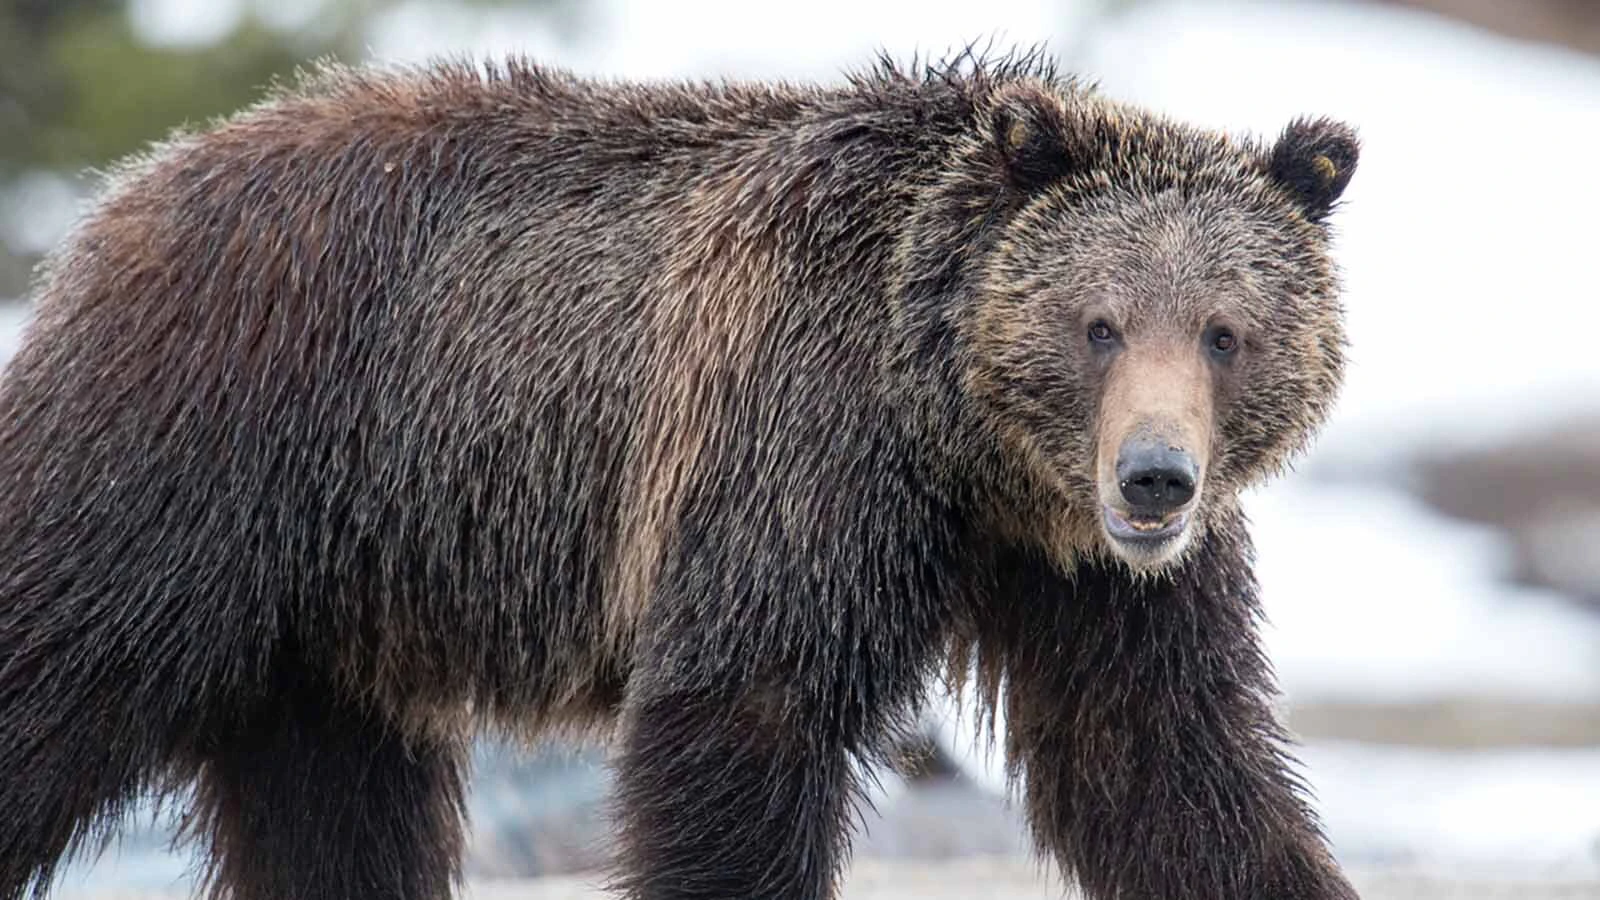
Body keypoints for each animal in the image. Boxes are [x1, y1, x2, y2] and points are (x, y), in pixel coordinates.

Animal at [0, 50, 1360, 900]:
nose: (1153, 480)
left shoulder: (1085, 581)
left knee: (336, 810)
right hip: (199, 449)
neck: (959, 443)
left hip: (334, 608)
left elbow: (1167, 762)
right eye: (1099, 324)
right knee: (55, 661)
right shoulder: (794, 454)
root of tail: (132, 187)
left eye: (1225, 331)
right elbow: (742, 712)